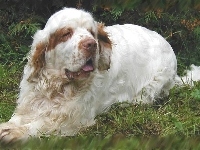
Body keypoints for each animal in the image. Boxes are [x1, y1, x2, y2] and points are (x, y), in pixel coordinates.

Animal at [0, 7, 200, 143]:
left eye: (91, 32)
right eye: (66, 33)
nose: (91, 44)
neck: (57, 86)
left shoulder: (73, 120)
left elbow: (39, 125)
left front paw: (13, 133)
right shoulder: (30, 105)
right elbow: (16, 119)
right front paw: (8, 126)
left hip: (152, 86)